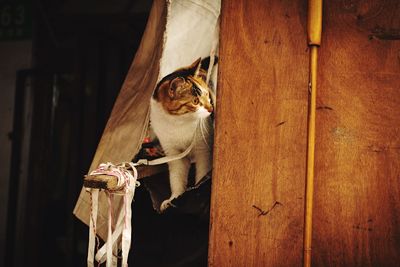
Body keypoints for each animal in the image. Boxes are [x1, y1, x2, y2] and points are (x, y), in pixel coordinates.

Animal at [150, 57, 217, 213]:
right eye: (195, 101)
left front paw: (197, 190)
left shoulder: (203, 150)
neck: (179, 123)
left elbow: (202, 172)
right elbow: (177, 178)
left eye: (207, 95)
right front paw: (174, 198)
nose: (211, 109)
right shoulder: (174, 153)